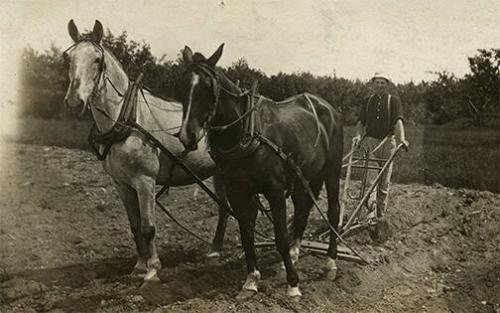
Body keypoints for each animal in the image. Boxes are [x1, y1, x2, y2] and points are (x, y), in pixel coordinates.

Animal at [63, 20, 232, 282]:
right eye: (68, 58)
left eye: (97, 60)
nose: (74, 102)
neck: (126, 120)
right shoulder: (121, 183)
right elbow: (134, 226)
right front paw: (139, 266)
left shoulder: (145, 180)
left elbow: (148, 227)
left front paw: (152, 269)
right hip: (219, 172)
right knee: (224, 208)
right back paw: (214, 250)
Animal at [175, 44, 344, 298]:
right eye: (183, 85)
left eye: (208, 88)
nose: (188, 135)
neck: (247, 131)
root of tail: (328, 108)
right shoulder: (237, 191)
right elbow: (247, 234)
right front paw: (251, 280)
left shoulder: (274, 190)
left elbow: (280, 236)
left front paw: (293, 284)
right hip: (302, 177)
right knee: (303, 209)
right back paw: (294, 253)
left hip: (332, 170)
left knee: (333, 212)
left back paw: (330, 263)